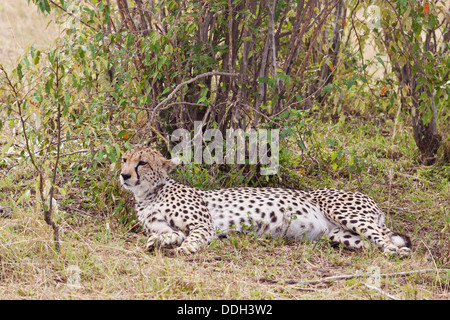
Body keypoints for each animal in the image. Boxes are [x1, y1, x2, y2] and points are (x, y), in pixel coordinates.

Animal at [119, 146, 412, 256]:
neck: (148, 194)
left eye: (142, 162)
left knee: (389, 241)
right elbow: (169, 234)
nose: (123, 175)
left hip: (345, 212)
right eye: (124, 159)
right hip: (340, 235)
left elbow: (192, 238)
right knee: (373, 243)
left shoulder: (204, 226)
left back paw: (397, 252)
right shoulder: (169, 226)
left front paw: (184, 249)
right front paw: (157, 242)